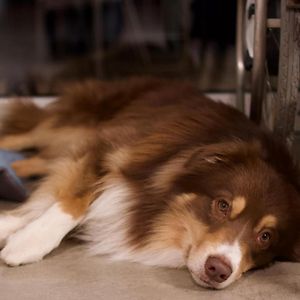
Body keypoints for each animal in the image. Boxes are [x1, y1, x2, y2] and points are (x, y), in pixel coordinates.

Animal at [0, 78, 300, 290]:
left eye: (265, 236)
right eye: (223, 205)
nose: (218, 270)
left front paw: (12, 227)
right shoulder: (108, 147)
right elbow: (73, 199)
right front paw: (28, 241)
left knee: (28, 163)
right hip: (71, 128)